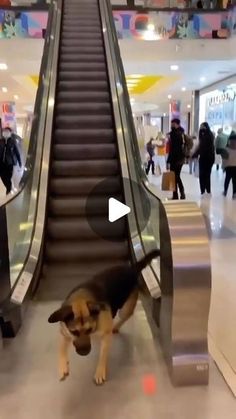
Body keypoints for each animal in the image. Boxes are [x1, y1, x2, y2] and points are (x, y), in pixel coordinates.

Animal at [47, 251, 159, 386]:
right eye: (74, 332)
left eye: (89, 330)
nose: (84, 352)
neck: (80, 300)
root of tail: (132, 268)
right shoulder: (65, 334)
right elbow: (62, 350)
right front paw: (63, 366)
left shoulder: (105, 336)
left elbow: (103, 356)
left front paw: (100, 371)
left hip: (125, 310)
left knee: (125, 316)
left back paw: (115, 326)